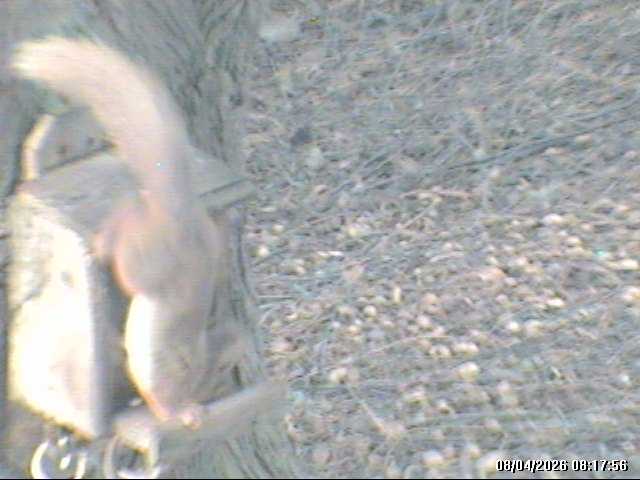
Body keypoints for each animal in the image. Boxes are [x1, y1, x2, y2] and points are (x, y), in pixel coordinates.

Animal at [12, 37, 247, 427]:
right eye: (222, 372)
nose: (216, 397)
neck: (199, 359)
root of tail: (178, 211)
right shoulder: (167, 372)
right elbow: (161, 395)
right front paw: (183, 413)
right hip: (146, 256)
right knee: (126, 237)